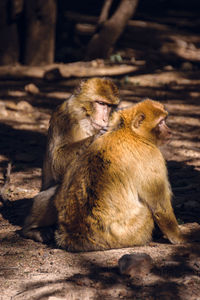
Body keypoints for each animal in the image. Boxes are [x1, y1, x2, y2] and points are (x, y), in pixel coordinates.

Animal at [20, 77, 120, 241]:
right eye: (101, 103)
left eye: (110, 106)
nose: (105, 118)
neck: (85, 117)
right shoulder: (65, 118)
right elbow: (56, 161)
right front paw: (97, 137)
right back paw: (31, 229)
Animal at [54, 99, 187, 252]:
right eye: (160, 123)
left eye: (165, 120)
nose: (169, 131)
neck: (130, 132)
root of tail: (74, 234)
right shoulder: (151, 155)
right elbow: (160, 206)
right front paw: (179, 237)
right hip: (129, 233)